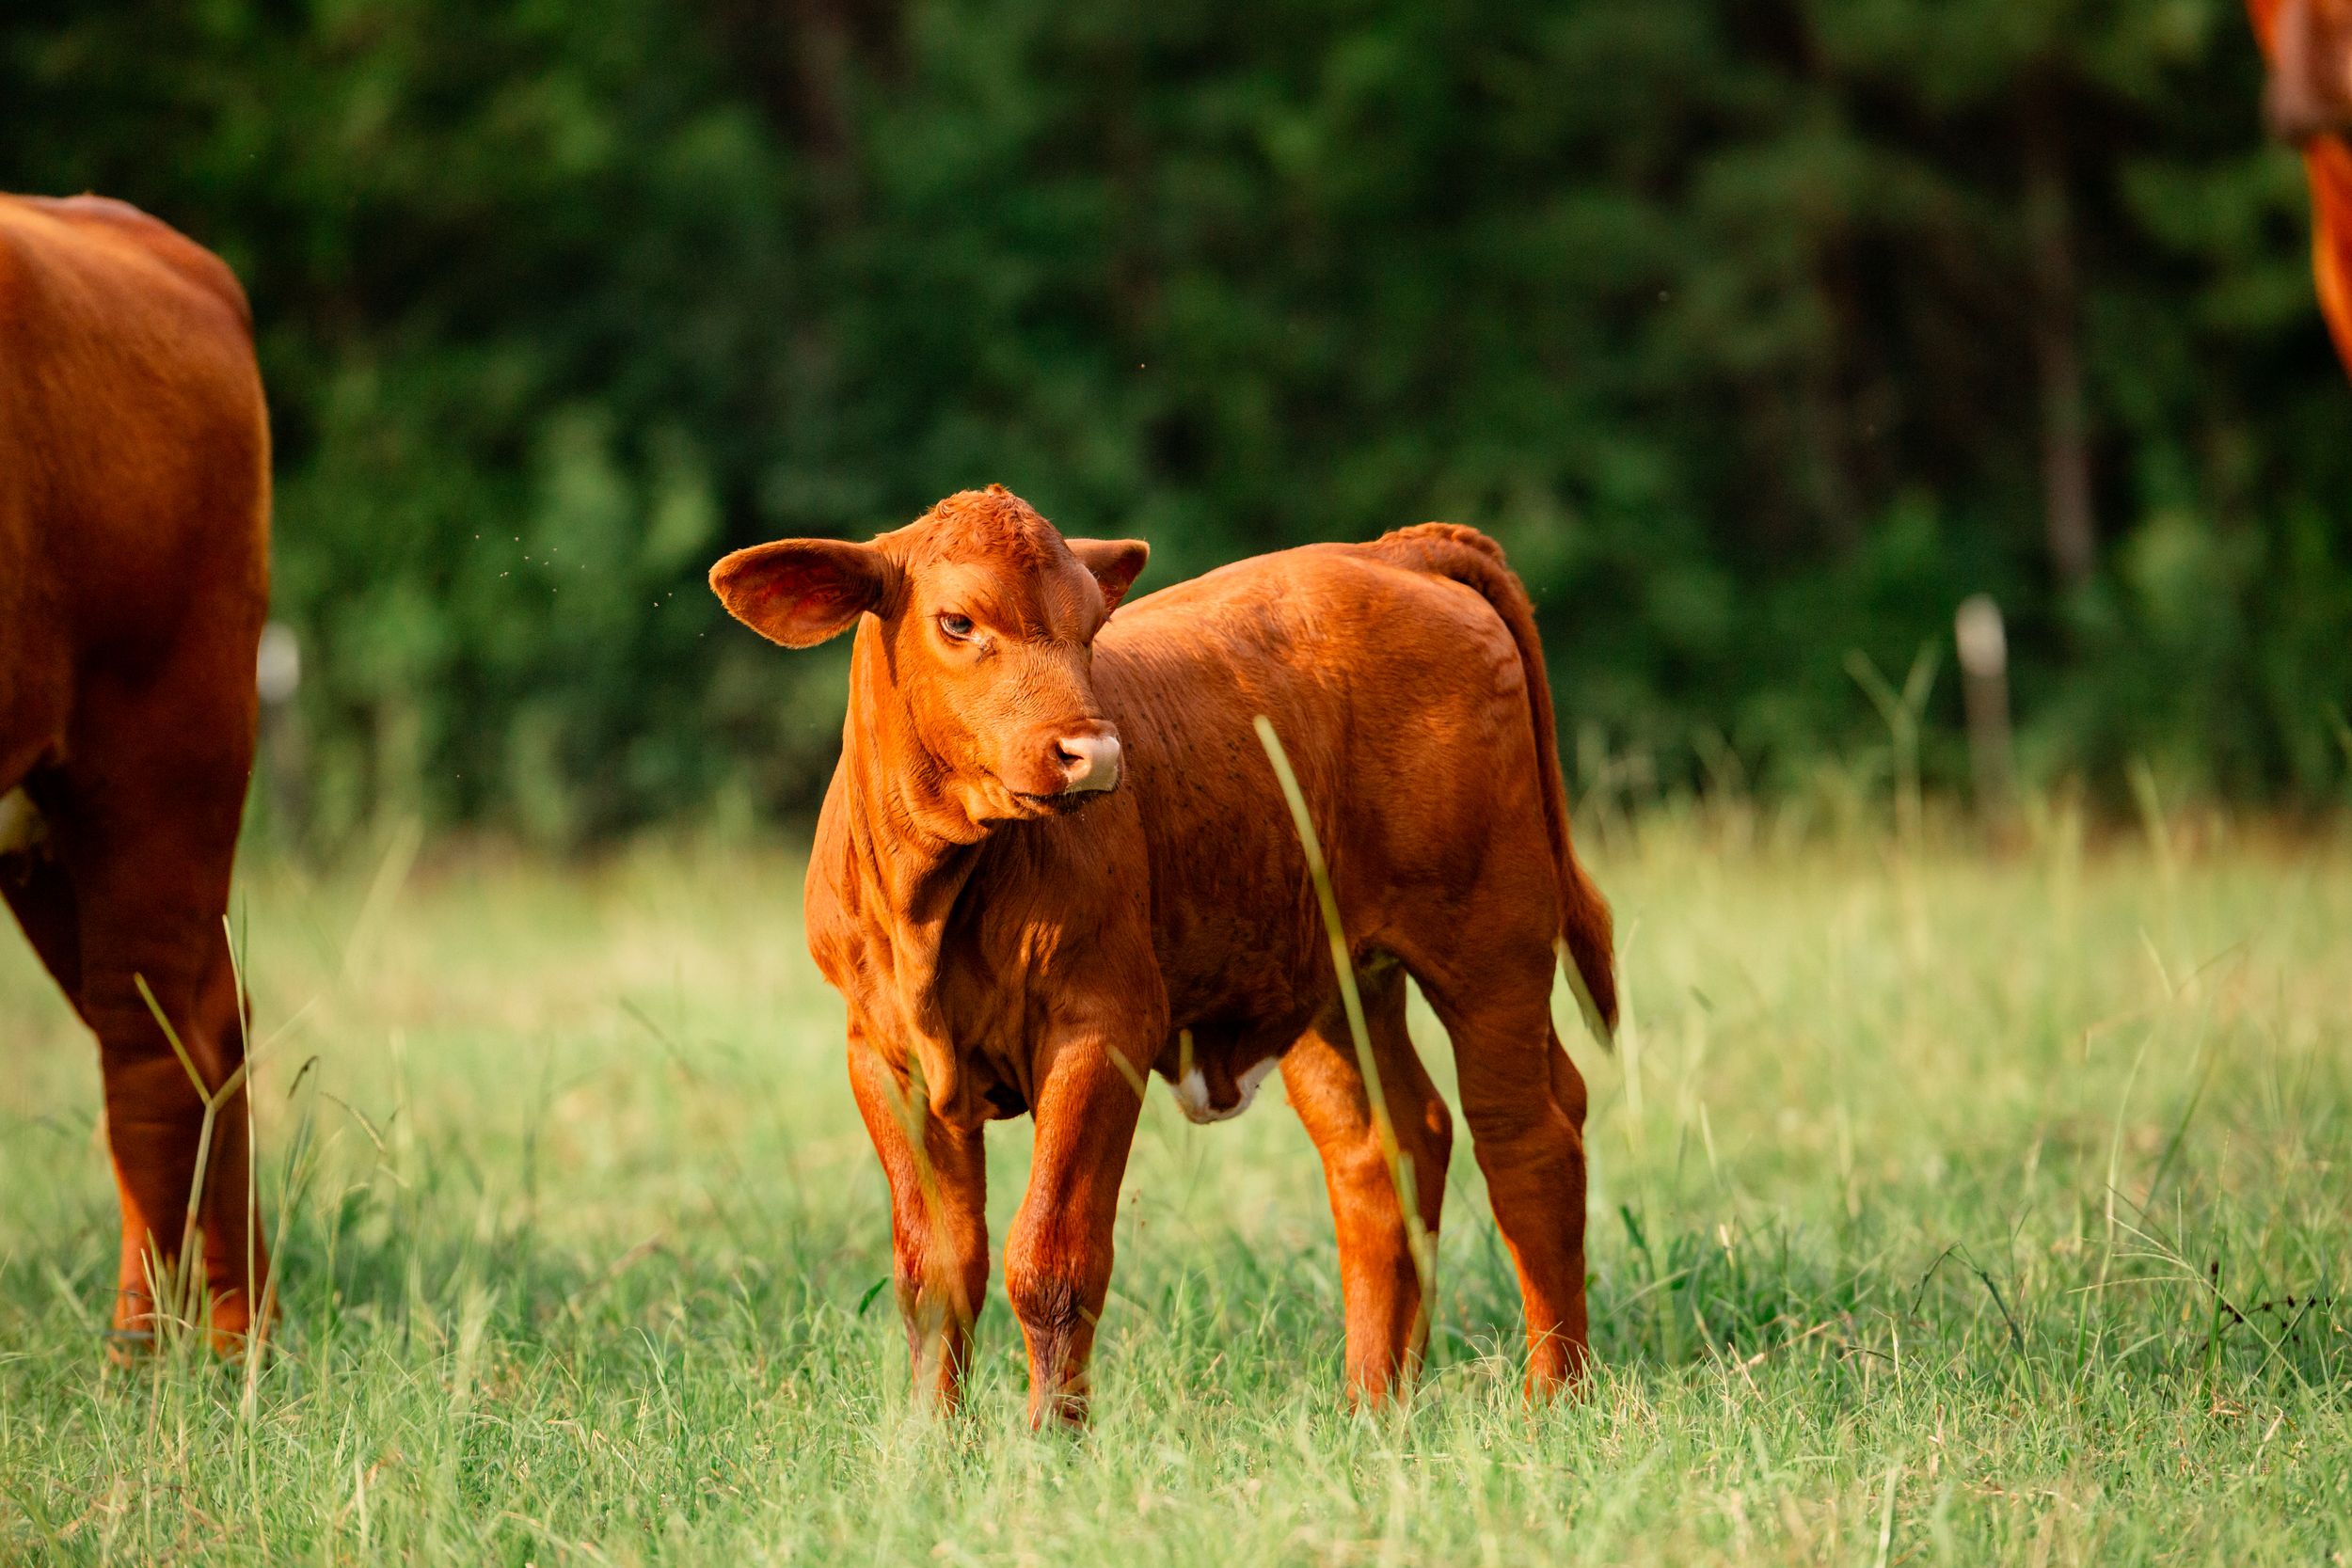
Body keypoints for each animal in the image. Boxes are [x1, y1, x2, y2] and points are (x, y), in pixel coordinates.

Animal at [710, 485, 1616, 1425]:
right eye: (956, 621)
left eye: (1091, 628)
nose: (1094, 753)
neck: (937, 902)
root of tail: (1388, 552)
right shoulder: (882, 1054)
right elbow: (936, 1272)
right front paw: (930, 1440)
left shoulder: (1102, 1026)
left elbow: (1053, 1259)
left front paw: (1051, 1440)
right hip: (1332, 979)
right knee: (1387, 1145)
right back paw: (1372, 1402)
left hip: (1492, 939)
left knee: (1526, 1135)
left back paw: (1555, 1397)